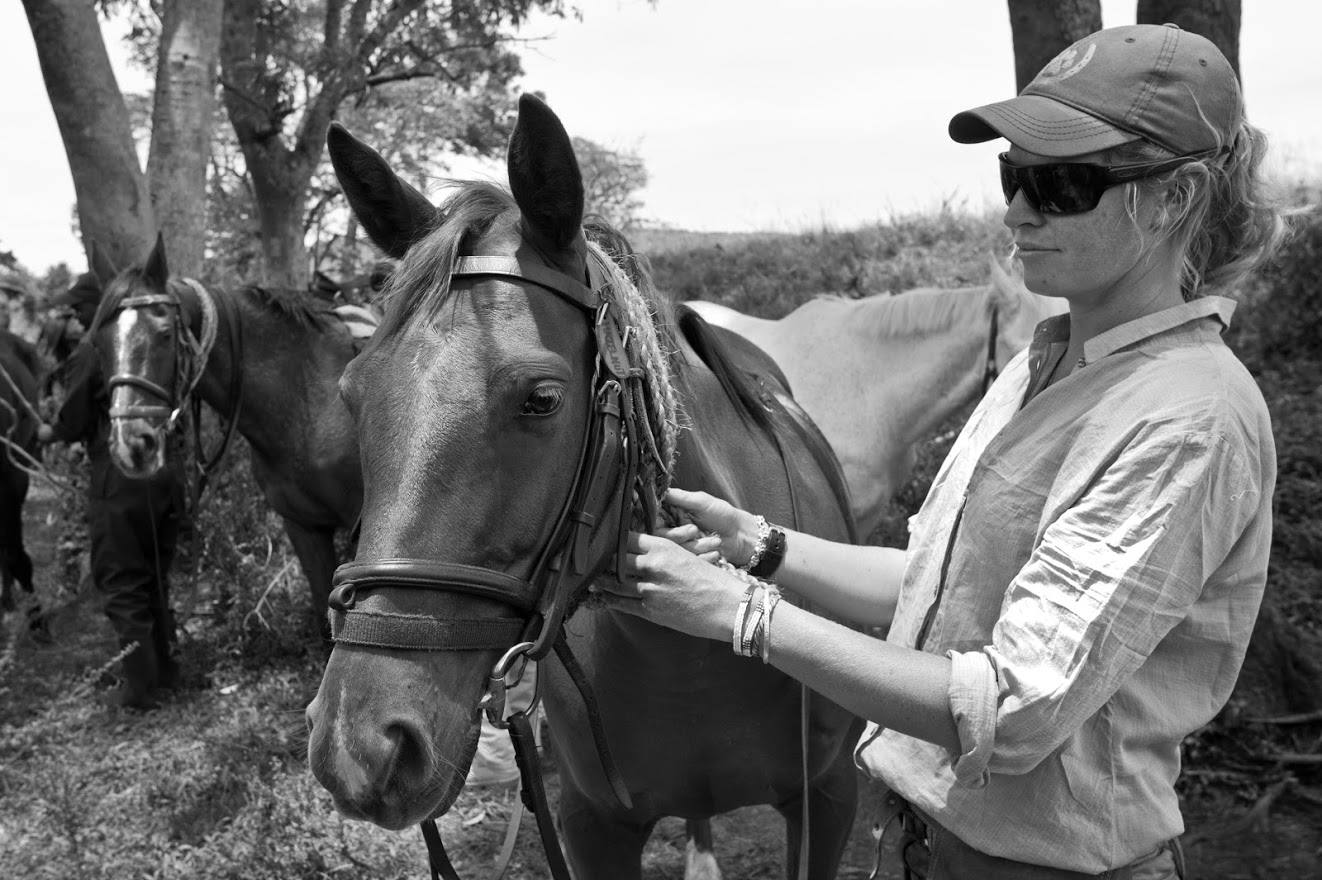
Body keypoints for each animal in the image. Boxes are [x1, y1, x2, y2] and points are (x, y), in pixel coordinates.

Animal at [306, 94, 864, 880]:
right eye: (353, 393)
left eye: (542, 399)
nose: (362, 747)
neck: (692, 657)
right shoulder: (593, 824)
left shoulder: (830, 801)